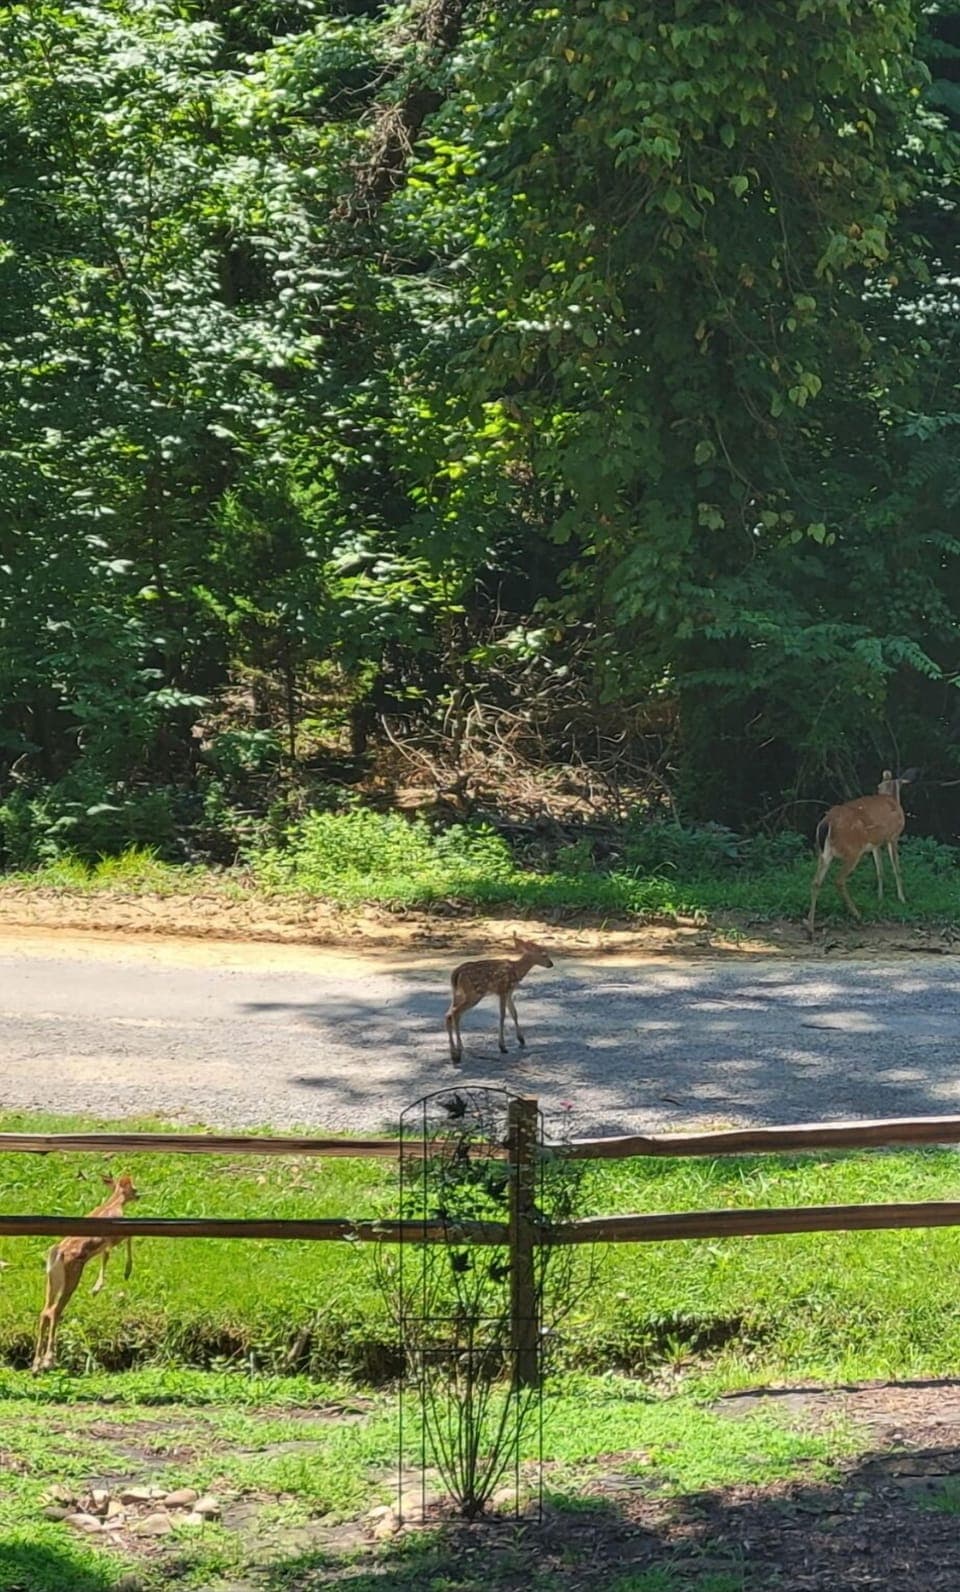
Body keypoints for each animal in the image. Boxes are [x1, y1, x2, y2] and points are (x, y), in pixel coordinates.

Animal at [32, 1172, 140, 1374]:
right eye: (134, 1188)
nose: (139, 1195)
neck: (113, 1204)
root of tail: (57, 1253)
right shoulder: (114, 1236)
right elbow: (129, 1237)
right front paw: (127, 1271)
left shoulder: (105, 1245)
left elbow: (105, 1257)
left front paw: (97, 1287)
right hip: (71, 1276)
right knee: (54, 1310)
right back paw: (49, 1359)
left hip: (51, 1280)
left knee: (44, 1311)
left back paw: (36, 1363)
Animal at [445, 933, 554, 1064]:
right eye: (544, 954)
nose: (551, 964)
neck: (516, 970)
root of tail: (455, 974)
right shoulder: (502, 990)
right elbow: (502, 1015)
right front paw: (502, 1046)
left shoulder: (509, 992)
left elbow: (514, 1013)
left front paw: (521, 1040)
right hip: (474, 993)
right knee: (456, 1013)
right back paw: (459, 1050)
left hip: (458, 994)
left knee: (448, 1015)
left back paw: (453, 1054)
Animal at [806, 768, 918, 938]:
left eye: (878, 785)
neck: (891, 797)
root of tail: (826, 823)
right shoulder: (893, 836)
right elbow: (896, 869)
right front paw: (902, 899)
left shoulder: (875, 844)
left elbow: (880, 870)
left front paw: (880, 898)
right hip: (852, 851)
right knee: (838, 880)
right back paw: (857, 914)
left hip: (824, 853)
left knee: (816, 882)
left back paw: (810, 928)